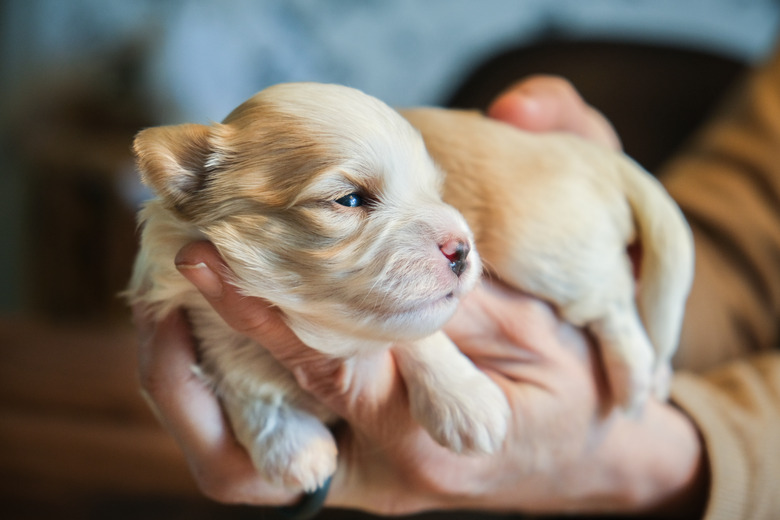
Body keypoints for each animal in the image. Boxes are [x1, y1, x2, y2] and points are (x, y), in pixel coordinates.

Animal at [126, 82, 696, 492]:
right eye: (350, 200)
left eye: (436, 193)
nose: (462, 248)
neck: (310, 326)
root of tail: (580, 150)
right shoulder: (204, 312)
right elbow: (241, 381)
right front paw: (293, 451)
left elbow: (417, 333)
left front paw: (466, 402)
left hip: (544, 247)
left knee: (615, 296)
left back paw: (636, 376)